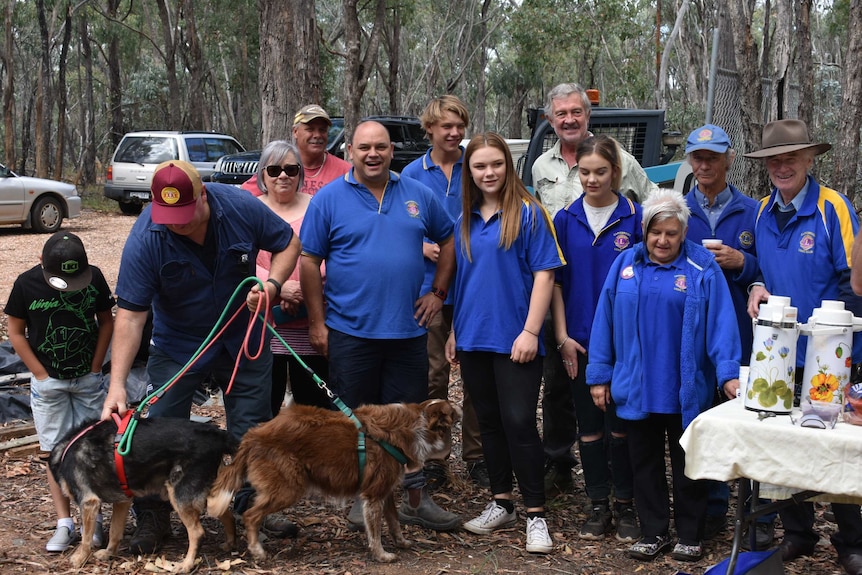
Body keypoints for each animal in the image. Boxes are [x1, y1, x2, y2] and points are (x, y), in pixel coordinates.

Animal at [50, 416, 240, 572]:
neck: (65, 449)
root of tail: (218, 434)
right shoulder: (122, 500)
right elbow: (115, 531)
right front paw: (109, 553)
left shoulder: (89, 502)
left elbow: (86, 539)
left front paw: (79, 559)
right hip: (206, 494)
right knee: (227, 515)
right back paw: (229, 544)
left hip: (180, 495)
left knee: (197, 533)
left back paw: (186, 564)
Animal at [207, 400, 462, 564]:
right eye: (451, 409)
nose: (461, 407)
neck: (417, 423)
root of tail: (253, 435)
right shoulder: (374, 495)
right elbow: (375, 532)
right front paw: (381, 555)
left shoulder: (386, 491)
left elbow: (394, 522)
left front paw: (401, 542)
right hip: (288, 488)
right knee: (250, 515)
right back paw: (257, 551)